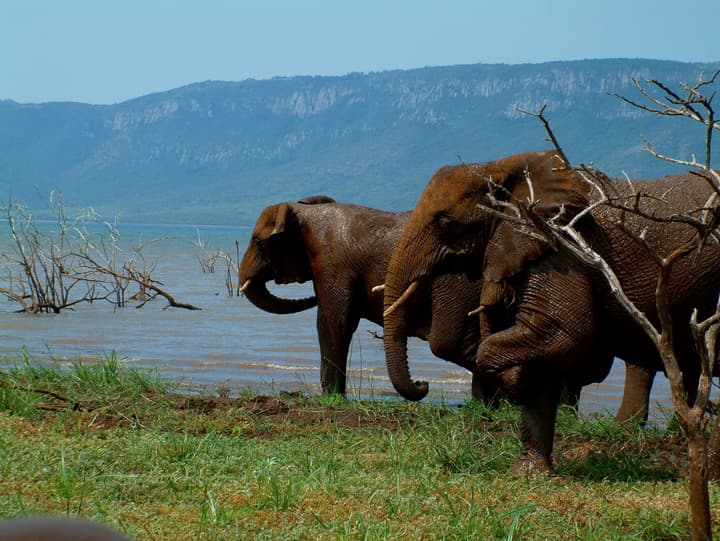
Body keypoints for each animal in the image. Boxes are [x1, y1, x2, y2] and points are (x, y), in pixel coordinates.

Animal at [239, 195, 486, 398]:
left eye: (258, 242)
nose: (422, 383)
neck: (305, 212)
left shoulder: (333, 266)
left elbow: (333, 323)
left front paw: (332, 399)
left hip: (459, 283)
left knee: (448, 343)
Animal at [382, 149, 720, 472]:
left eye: (445, 222)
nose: (422, 384)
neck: (501, 166)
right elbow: (545, 351)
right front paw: (528, 473)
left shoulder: (559, 248)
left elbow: (559, 335)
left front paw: (512, 380)